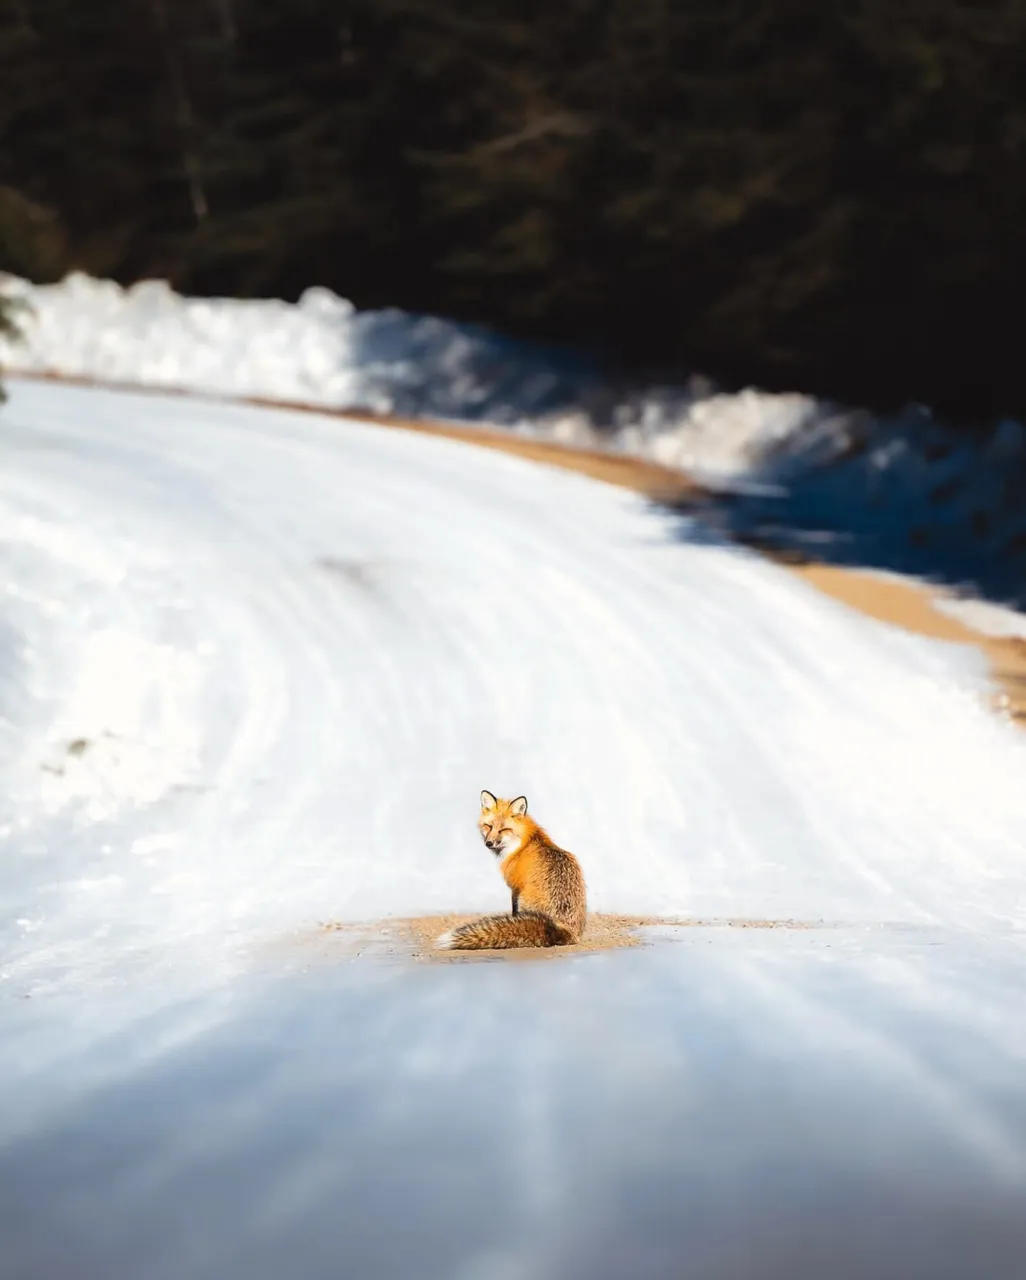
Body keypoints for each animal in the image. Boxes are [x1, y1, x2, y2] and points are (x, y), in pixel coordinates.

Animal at [436, 791, 587, 950]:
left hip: (524, 900)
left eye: (504, 829)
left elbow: (514, 914)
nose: (489, 843)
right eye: (488, 826)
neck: (522, 844)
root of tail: (566, 931)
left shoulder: (515, 888)